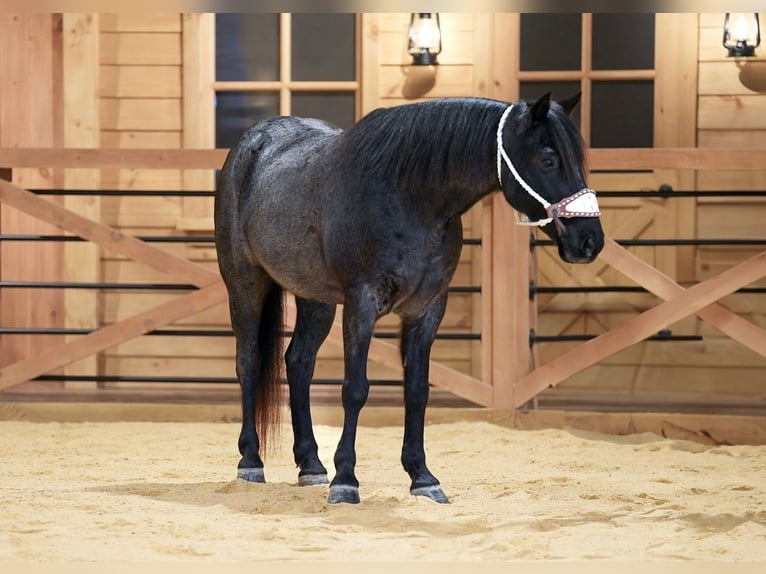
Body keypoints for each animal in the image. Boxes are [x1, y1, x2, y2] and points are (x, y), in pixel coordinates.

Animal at [214, 93, 604, 505]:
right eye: (548, 159)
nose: (589, 241)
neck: (409, 196)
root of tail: (252, 143)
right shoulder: (361, 303)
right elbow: (355, 390)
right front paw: (346, 481)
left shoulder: (427, 309)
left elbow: (417, 391)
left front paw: (423, 477)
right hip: (244, 283)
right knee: (249, 362)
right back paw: (251, 462)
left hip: (314, 298)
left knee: (299, 362)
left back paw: (311, 465)